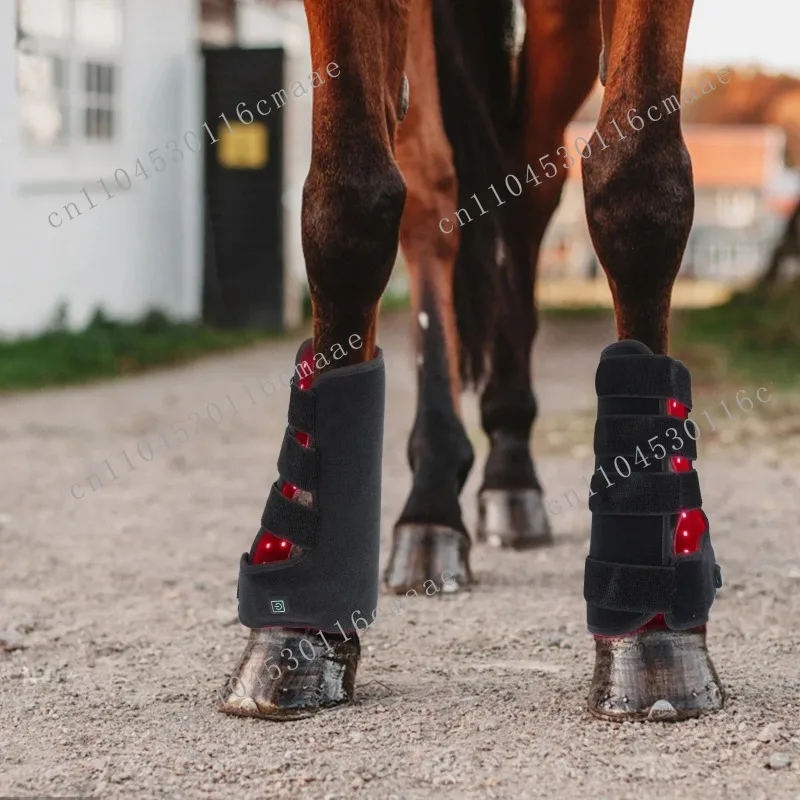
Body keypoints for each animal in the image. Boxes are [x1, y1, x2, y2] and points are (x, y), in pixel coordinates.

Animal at [219, 0, 723, 722]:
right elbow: (347, 204)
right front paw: (299, 631)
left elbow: (640, 188)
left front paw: (655, 639)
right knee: (434, 196)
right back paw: (432, 503)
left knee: (529, 184)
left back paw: (510, 467)